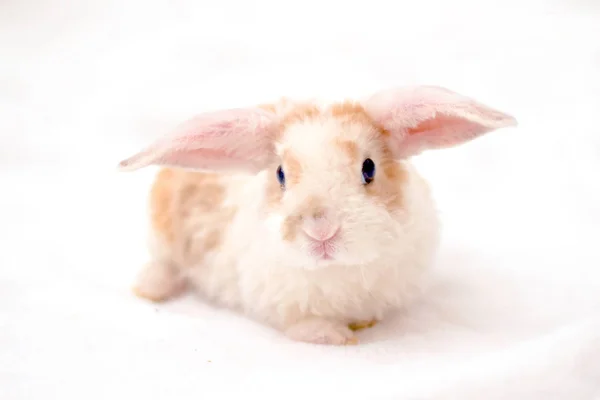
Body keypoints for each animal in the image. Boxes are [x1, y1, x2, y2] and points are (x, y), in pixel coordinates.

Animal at [117, 86, 516, 346]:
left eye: (368, 168)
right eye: (280, 174)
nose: (321, 229)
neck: (338, 268)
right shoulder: (278, 302)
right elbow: (301, 324)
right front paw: (334, 335)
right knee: (163, 265)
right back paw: (151, 289)